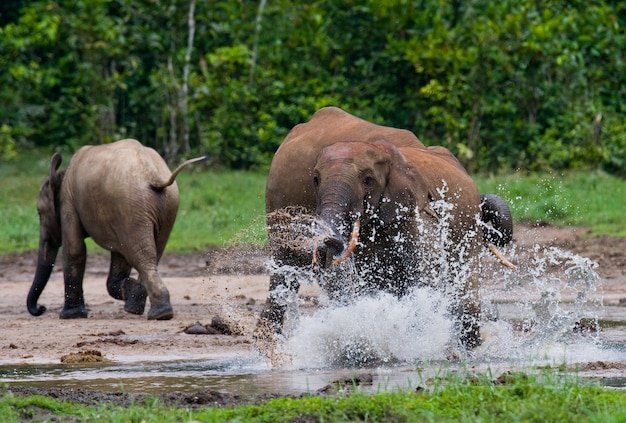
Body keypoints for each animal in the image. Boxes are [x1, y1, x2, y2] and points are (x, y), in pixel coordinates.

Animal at [27, 139, 207, 322]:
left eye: (39, 212)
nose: (41, 308)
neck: (61, 175)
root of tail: (153, 174)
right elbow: (119, 255)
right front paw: (127, 288)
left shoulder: (68, 202)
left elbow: (74, 249)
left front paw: (70, 316)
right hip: (165, 206)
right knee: (150, 253)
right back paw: (144, 309)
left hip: (133, 206)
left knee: (141, 256)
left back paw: (158, 313)